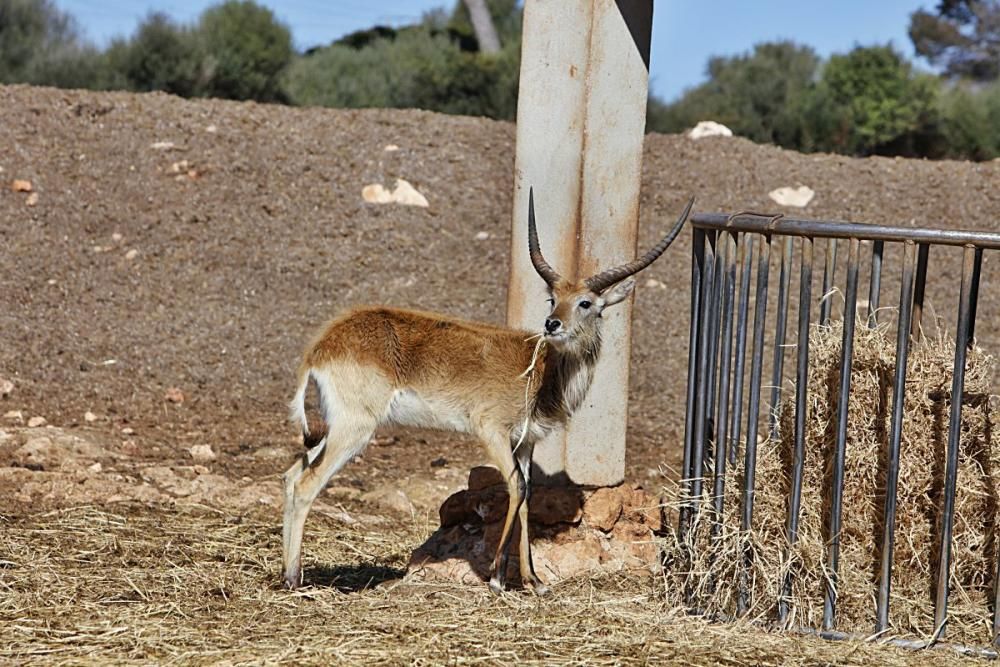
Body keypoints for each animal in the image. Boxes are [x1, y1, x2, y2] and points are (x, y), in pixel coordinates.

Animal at [280, 190, 688, 592]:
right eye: (552, 298)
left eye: (585, 302)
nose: (552, 324)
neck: (542, 375)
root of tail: (323, 345)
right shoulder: (490, 430)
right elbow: (516, 486)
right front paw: (495, 577)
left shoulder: (525, 442)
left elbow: (527, 496)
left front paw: (533, 580)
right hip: (355, 429)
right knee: (307, 484)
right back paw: (293, 580)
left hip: (331, 429)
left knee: (291, 475)